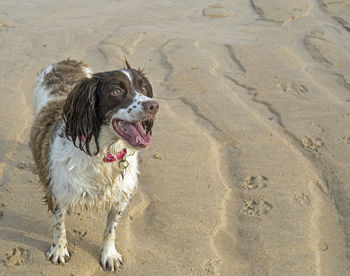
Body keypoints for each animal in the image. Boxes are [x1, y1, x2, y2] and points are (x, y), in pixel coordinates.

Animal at [30, 58, 159, 272]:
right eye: (117, 91)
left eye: (143, 88)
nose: (154, 105)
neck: (102, 155)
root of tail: (66, 62)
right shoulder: (58, 192)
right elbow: (59, 224)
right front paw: (59, 250)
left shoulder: (120, 198)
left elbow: (111, 229)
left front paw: (109, 255)